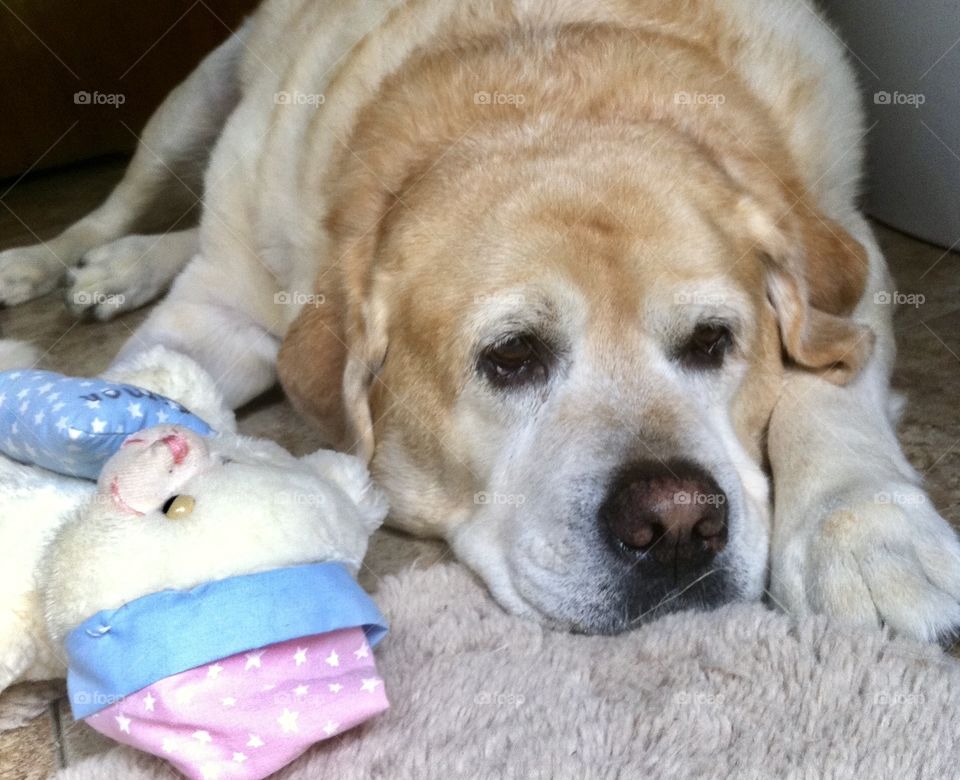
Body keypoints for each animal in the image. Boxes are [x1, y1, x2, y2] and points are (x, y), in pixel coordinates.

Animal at [1, 0, 960, 640]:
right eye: (513, 357)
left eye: (712, 342)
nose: (681, 524)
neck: (548, 81)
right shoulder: (219, 309)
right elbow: (144, 389)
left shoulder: (855, 256)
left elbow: (824, 388)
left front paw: (871, 537)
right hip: (196, 97)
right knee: (126, 197)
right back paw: (65, 261)